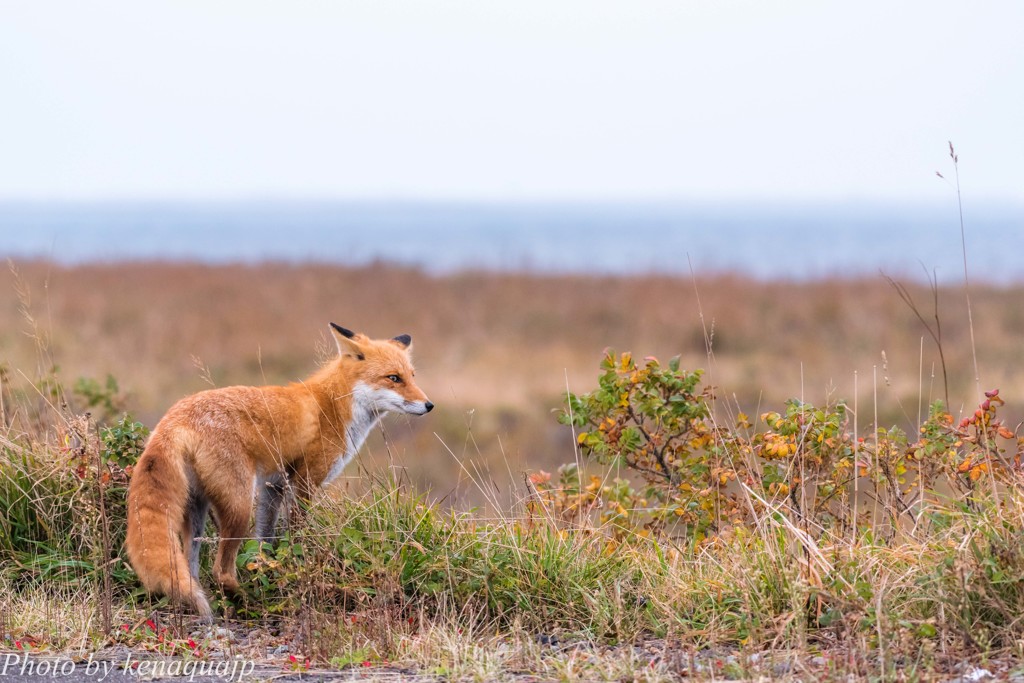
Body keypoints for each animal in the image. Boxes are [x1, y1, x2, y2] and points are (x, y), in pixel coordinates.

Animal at [123, 325, 432, 618]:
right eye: (394, 378)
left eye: (413, 376)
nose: (429, 405)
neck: (332, 406)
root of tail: (172, 418)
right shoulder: (305, 481)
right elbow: (295, 535)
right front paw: (295, 567)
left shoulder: (273, 486)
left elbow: (266, 539)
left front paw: (270, 569)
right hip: (239, 506)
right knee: (221, 570)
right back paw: (248, 603)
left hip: (197, 509)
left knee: (189, 567)